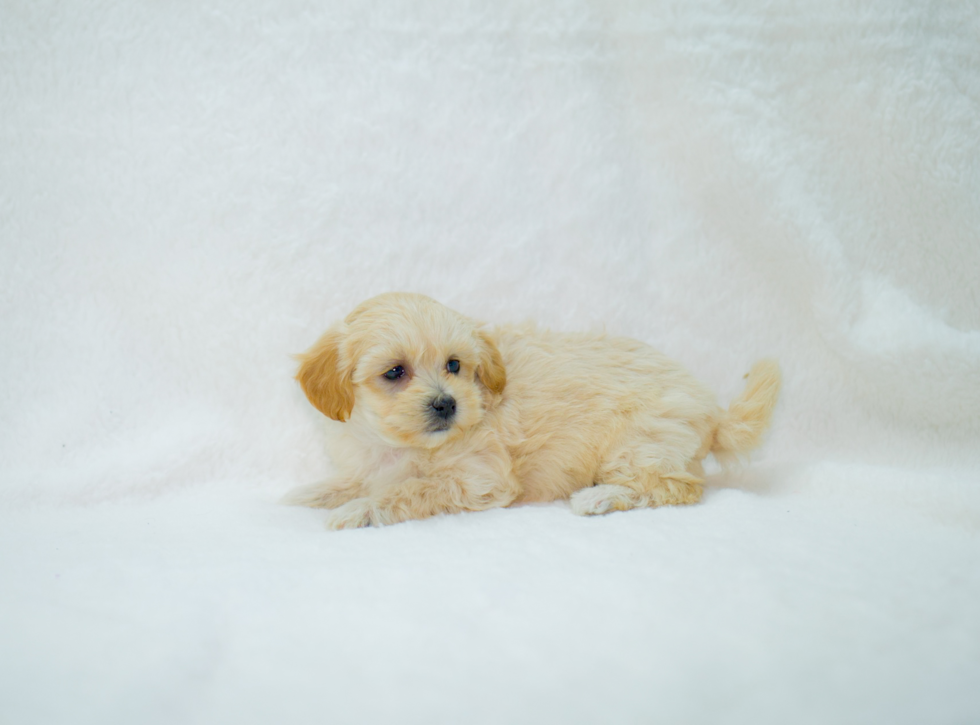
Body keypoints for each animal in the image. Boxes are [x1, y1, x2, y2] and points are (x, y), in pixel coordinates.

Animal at [286, 292, 780, 528]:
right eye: (394, 372)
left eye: (454, 365)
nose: (447, 403)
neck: (398, 446)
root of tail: (712, 409)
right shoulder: (367, 460)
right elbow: (353, 481)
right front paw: (310, 493)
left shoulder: (480, 479)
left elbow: (409, 490)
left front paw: (361, 510)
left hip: (638, 446)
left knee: (677, 488)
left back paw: (600, 497)